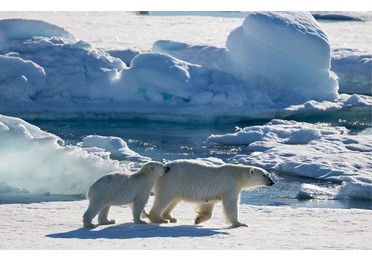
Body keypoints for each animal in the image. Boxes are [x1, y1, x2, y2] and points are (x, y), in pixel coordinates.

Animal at [146, 159, 274, 228]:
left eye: (268, 174)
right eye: (264, 175)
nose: (272, 182)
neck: (237, 174)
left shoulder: (212, 193)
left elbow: (207, 205)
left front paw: (198, 219)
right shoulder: (230, 184)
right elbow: (231, 203)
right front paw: (240, 223)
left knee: (173, 200)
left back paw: (170, 217)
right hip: (172, 181)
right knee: (164, 198)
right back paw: (159, 218)